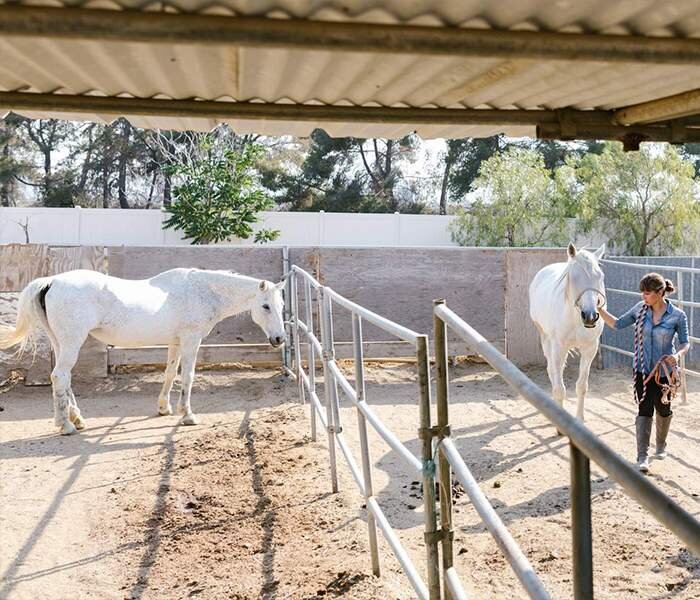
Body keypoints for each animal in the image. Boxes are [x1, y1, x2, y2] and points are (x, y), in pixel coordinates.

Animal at [0, 270, 288, 434]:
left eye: (282, 305)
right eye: (265, 306)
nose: (279, 339)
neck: (201, 291)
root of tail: (50, 282)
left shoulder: (175, 342)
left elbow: (170, 373)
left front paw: (164, 408)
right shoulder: (191, 340)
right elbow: (188, 376)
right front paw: (188, 415)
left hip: (61, 342)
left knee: (64, 378)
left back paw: (77, 419)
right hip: (72, 342)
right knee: (60, 376)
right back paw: (66, 425)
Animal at [528, 244, 604, 422]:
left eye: (600, 276)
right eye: (574, 277)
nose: (590, 316)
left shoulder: (590, 349)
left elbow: (582, 386)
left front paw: (580, 419)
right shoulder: (558, 348)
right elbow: (559, 388)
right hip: (546, 339)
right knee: (552, 371)